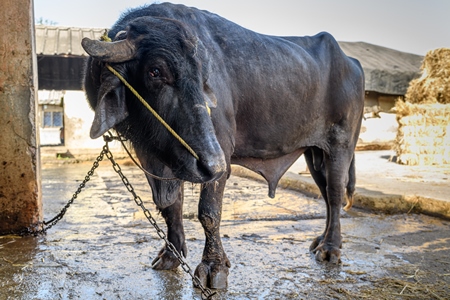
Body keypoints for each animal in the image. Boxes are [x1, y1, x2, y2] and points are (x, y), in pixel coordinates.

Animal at [81, 1, 366, 288]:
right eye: (155, 71)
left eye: (203, 76)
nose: (212, 164)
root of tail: (351, 63)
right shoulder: (160, 157)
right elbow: (170, 206)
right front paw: (171, 254)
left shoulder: (219, 154)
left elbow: (209, 212)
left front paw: (214, 267)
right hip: (314, 153)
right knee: (326, 193)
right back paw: (321, 240)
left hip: (341, 146)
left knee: (335, 193)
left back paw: (330, 248)